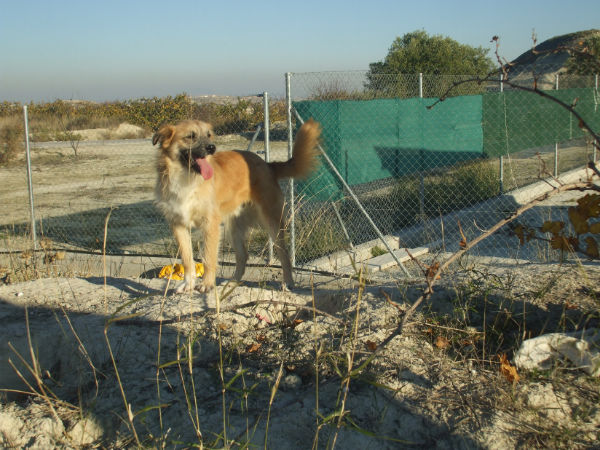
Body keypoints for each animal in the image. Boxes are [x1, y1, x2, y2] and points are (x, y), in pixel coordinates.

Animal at [152, 118, 322, 294]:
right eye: (190, 136)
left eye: (208, 135)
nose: (212, 148)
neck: (186, 179)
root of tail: (268, 164)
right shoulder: (178, 225)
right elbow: (187, 259)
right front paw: (188, 284)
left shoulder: (210, 224)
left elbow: (208, 258)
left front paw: (207, 284)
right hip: (233, 228)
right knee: (243, 256)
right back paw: (233, 282)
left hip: (272, 222)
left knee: (284, 254)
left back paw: (288, 282)